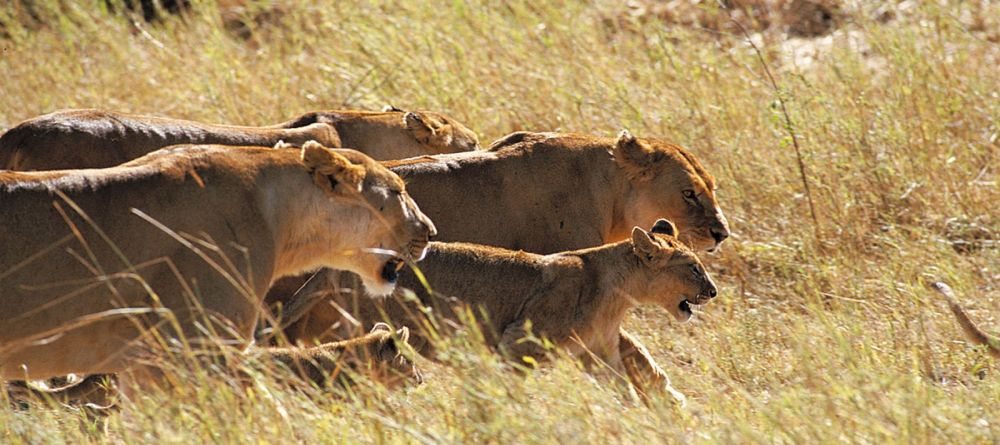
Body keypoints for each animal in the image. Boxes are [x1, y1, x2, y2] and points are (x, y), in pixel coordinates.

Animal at [326, 219, 712, 402]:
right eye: (693, 267)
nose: (713, 291)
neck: (620, 293)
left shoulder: (598, 352)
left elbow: (626, 384)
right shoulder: (518, 342)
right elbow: (507, 385)